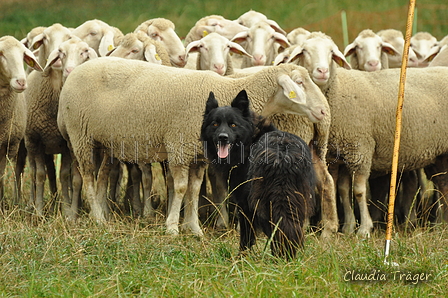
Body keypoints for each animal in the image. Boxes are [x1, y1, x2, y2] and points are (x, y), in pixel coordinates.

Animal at [57, 58, 328, 236]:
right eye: (300, 82)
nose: (324, 111)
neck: (226, 91)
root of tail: (72, 74)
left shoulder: (199, 156)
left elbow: (195, 190)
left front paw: (194, 228)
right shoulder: (180, 147)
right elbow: (179, 188)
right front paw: (172, 227)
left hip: (103, 141)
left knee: (101, 176)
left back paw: (101, 212)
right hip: (79, 134)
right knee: (87, 176)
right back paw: (98, 218)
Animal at [201, 89, 316, 258]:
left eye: (233, 124)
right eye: (215, 124)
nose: (223, 137)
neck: (249, 140)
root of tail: (283, 154)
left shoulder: (244, 205)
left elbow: (246, 237)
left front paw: (241, 258)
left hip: (264, 204)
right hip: (295, 202)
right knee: (291, 230)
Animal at [286, 30, 448, 236]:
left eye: (332, 52)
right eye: (305, 51)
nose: (322, 71)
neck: (337, 91)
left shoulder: (360, 150)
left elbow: (359, 191)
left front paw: (364, 228)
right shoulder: (336, 156)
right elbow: (341, 190)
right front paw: (347, 227)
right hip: (439, 154)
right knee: (443, 184)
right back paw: (441, 224)